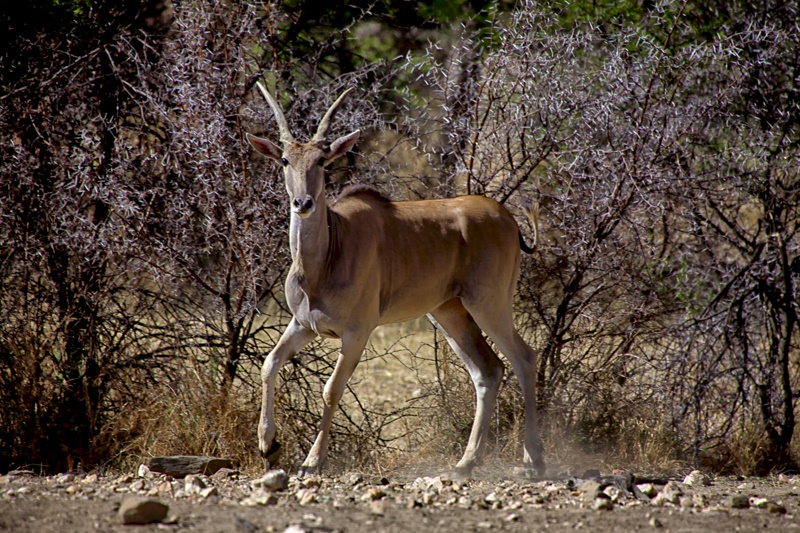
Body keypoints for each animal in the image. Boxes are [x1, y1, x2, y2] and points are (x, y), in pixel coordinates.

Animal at [245, 83, 544, 478]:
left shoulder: (357, 331)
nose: (303, 203)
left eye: (322, 161)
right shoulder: (303, 325)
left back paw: (532, 460)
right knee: (488, 371)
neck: (324, 259)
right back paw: (466, 462)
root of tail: (509, 220)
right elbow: (269, 363)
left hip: (489, 305)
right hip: (449, 313)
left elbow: (331, 390)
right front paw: (268, 445)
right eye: (284, 161)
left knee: (524, 358)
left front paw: (312, 460)